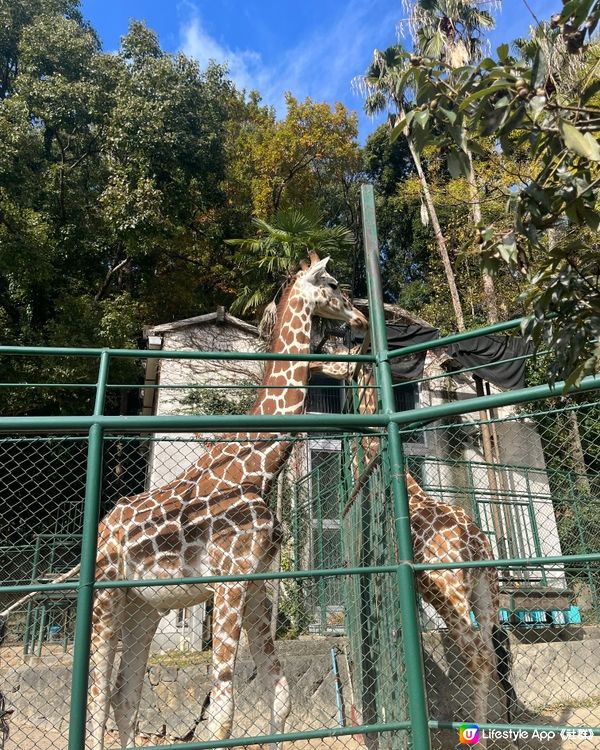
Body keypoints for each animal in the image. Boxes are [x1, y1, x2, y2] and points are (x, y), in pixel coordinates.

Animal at [0, 254, 368, 750]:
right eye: (332, 284)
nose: (360, 321)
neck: (259, 470)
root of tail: (104, 528)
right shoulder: (229, 581)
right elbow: (224, 704)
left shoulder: (256, 584)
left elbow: (279, 690)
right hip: (105, 599)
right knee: (96, 691)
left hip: (143, 608)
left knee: (124, 693)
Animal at [312, 350, 512, 744]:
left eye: (342, 360)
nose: (317, 364)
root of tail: (477, 546)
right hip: (487, 593)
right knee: (492, 653)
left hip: (451, 594)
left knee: (478, 655)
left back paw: (476, 737)